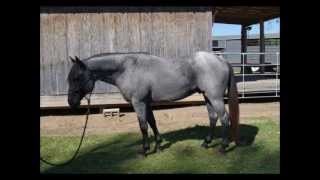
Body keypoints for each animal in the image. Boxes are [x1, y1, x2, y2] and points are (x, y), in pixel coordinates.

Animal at [67, 51, 238, 155]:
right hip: (207, 97)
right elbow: (152, 122)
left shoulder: (138, 103)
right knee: (213, 118)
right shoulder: (146, 103)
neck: (127, 69)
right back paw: (206, 143)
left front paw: (145, 149)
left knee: (224, 118)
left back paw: (223, 147)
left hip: (215, 98)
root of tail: (221, 59)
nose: (71, 102)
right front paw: (158, 146)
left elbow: (143, 126)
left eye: (76, 77)